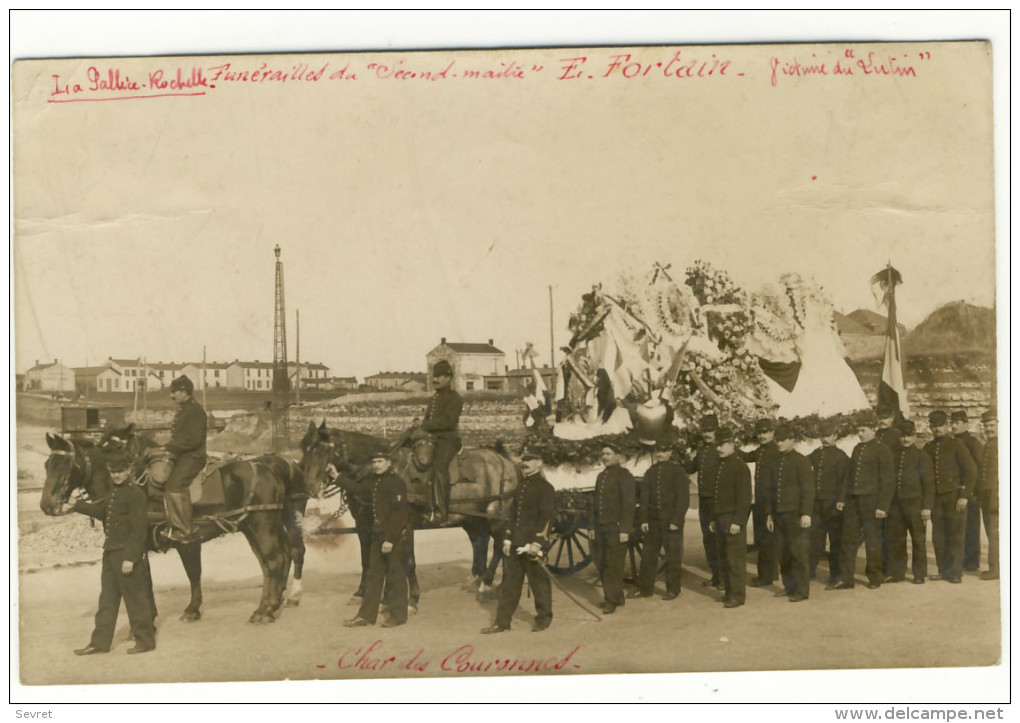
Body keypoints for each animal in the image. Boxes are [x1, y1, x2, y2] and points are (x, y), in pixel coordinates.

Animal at [39, 432, 291, 624]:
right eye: (46, 465)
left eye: (64, 464)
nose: (46, 505)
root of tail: (266, 466)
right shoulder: (153, 548)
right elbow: (168, 579)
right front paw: (178, 612)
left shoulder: (171, 544)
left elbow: (179, 576)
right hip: (253, 529)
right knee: (271, 563)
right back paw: (272, 602)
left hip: (261, 527)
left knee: (274, 561)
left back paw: (265, 611)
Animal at [297, 420, 518, 595]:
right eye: (305, 450)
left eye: (322, 451)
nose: (309, 487)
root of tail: (505, 461)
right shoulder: (364, 524)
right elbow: (366, 558)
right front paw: (363, 591)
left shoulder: (405, 524)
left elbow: (409, 560)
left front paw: (413, 596)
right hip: (474, 519)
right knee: (481, 542)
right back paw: (482, 579)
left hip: (495, 516)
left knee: (500, 545)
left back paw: (488, 582)